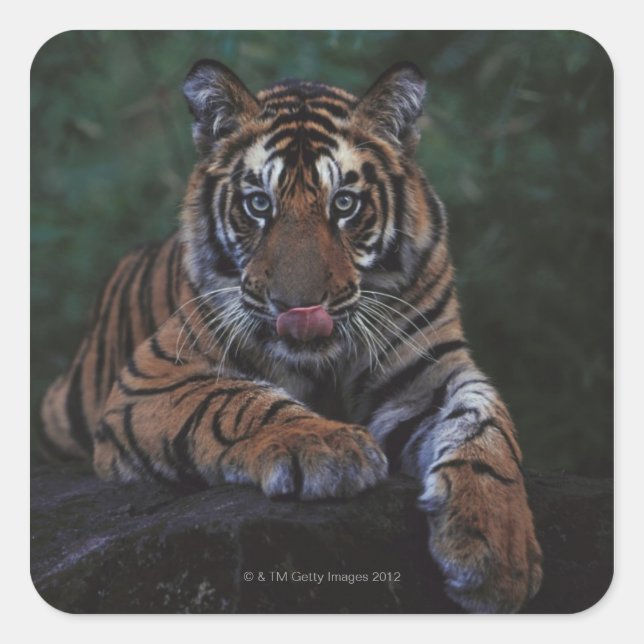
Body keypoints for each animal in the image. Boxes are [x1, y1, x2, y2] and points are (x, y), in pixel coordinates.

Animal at [40, 59, 542, 613]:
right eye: (259, 204)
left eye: (343, 204)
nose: (300, 309)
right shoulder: (154, 375)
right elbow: (234, 400)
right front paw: (328, 447)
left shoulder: (426, 374)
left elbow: (485, 426)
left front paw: (497, 551)